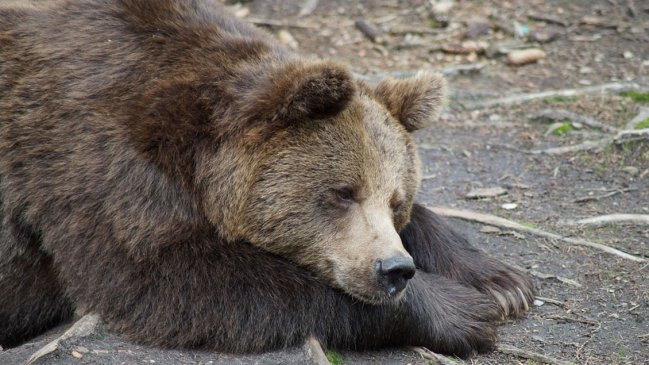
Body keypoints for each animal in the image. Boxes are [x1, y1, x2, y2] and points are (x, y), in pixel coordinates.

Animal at [0, 0, 532, 358]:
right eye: (342, 193)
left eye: (395, 200)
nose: (395, 269)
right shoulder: (100, 166)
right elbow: (168, 280)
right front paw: (461, 310)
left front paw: (501, 282)